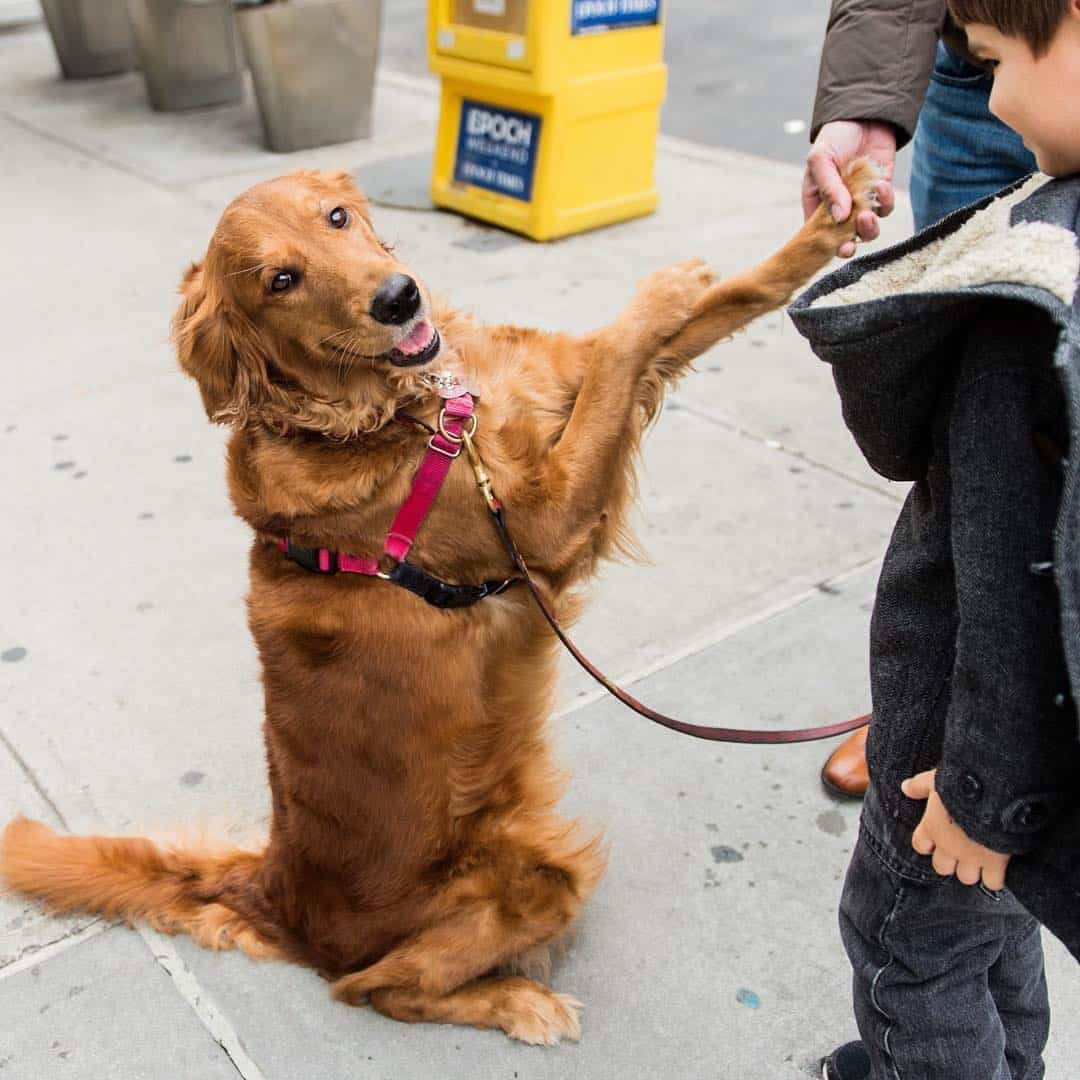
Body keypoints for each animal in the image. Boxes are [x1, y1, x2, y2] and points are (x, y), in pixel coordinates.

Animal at [0, 164, 872, 1041]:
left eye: (337, 217)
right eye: (281, 280)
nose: (398, 297)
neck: (410, 407)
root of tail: (278, 895)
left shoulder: (555, 385)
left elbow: (728, 300)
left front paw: (832, 220)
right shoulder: (547, 520)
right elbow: (629, 344)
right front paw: (665, 286)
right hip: (534, 871)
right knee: (377, 988)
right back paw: (519, 1002)